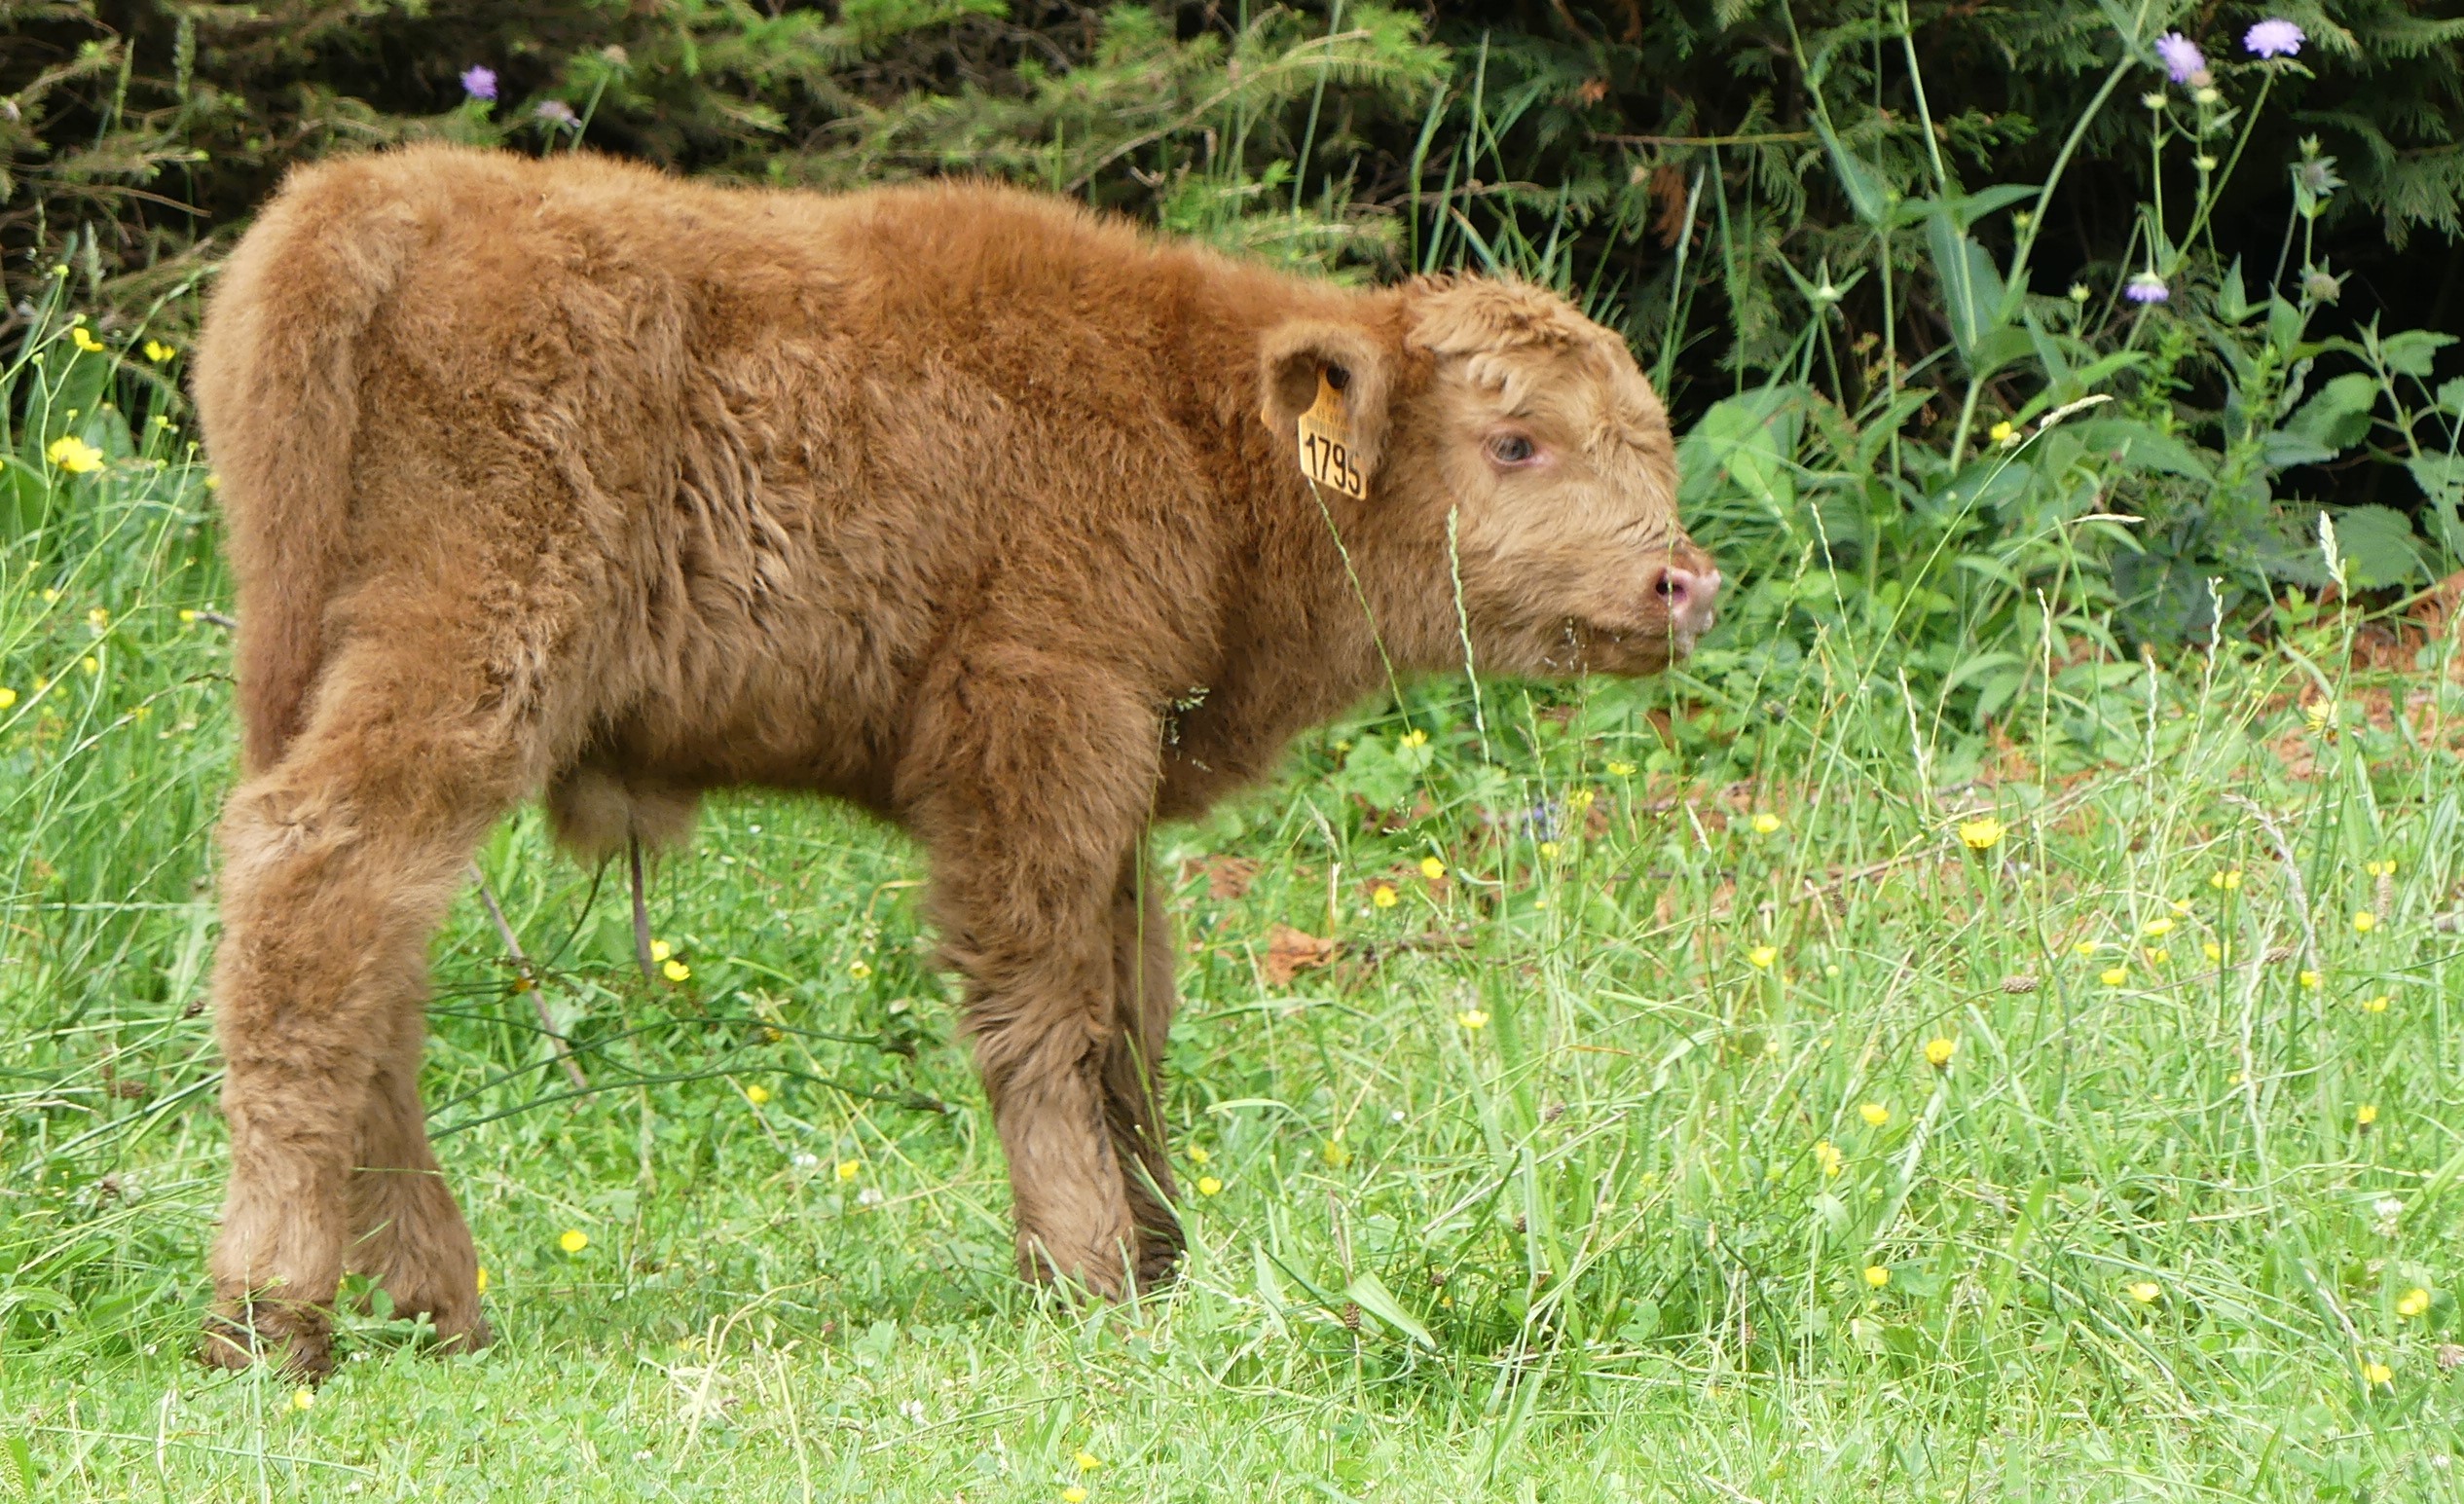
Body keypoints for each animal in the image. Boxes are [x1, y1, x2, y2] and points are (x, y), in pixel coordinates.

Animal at [192, 143, 1714, 1371]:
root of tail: (383, 194)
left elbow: (1131, 1012)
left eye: (1649, 443)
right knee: (315, 886)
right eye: (1512, 442)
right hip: (468, 650)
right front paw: (1087, 1270)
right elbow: (1041, 1003)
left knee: (368, 961)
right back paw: (273, 1316)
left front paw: (1162, 1255)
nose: (1682, 584)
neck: (1190, 417)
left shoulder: (1117, 781)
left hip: (327, 670)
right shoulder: (1038, 724)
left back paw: (428, 1302)